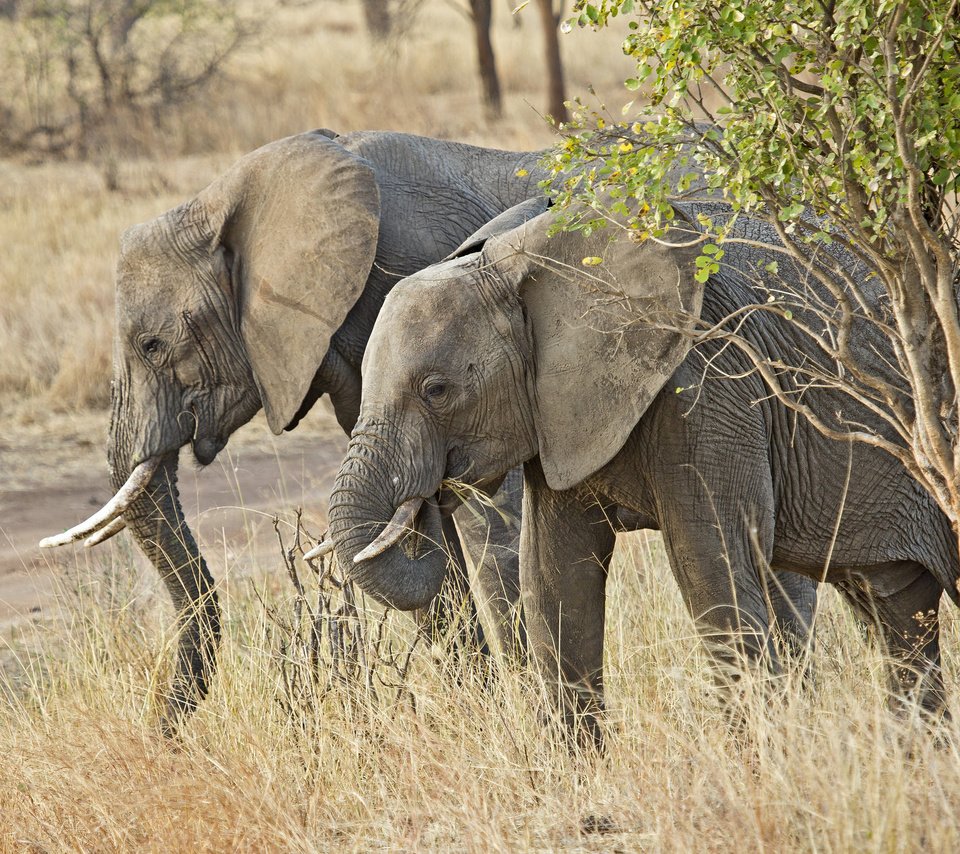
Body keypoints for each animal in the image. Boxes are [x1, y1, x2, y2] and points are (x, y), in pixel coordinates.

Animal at [41, 130, 556, 732]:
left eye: (151, 346)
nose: (163, 737)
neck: (223, 202)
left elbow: (486, 520)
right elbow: (400, 531)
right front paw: (480, 716)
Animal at [326, 202, 956, 748]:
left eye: (437, 391)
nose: (429, 497)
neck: (521, 261)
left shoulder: (710, 389)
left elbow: (712, 571)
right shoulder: (561, 414)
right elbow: (553, 581)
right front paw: (577, 781)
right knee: (900, 616)